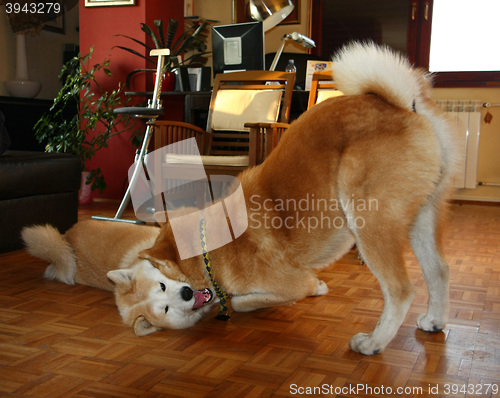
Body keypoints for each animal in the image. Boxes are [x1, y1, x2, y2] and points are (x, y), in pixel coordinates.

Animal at [139, 42, 458, 354]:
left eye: (162, 284)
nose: (184, 296)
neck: (213, 244)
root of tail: (406, 105)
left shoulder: (292, 284)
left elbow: (243, 302)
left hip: (370, 220)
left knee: (401, 289)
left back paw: (373, 342)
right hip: (421, 217)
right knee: (439, 271)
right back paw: (434, 321)